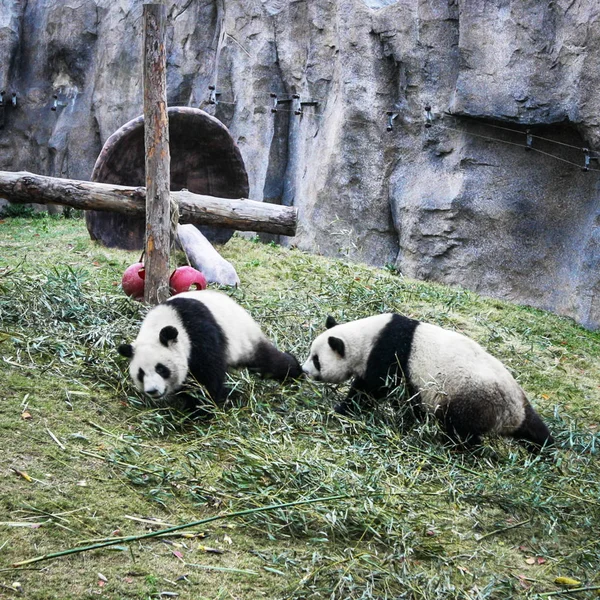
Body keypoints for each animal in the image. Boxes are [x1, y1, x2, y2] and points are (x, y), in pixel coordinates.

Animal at [118, 290, 302, 412]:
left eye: (161, 369)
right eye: (141, 374)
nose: (153, 391)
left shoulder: (199, 334)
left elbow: (209, 376)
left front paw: (199, 408)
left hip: (244, 339)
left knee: (268, 361)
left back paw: (294, 371)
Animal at [302, 314, 556, 450]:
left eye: (316, 360)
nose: (304, 370)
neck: (367, 337)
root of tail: (509, 413)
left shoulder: (390, 355)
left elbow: (371, 389)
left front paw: (343, 408)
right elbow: (409, 401)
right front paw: (411, 420)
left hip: (472, 396)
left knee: (459, 426)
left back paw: (461, 447)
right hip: (518, 401)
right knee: (532, 427)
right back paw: (546, 448)